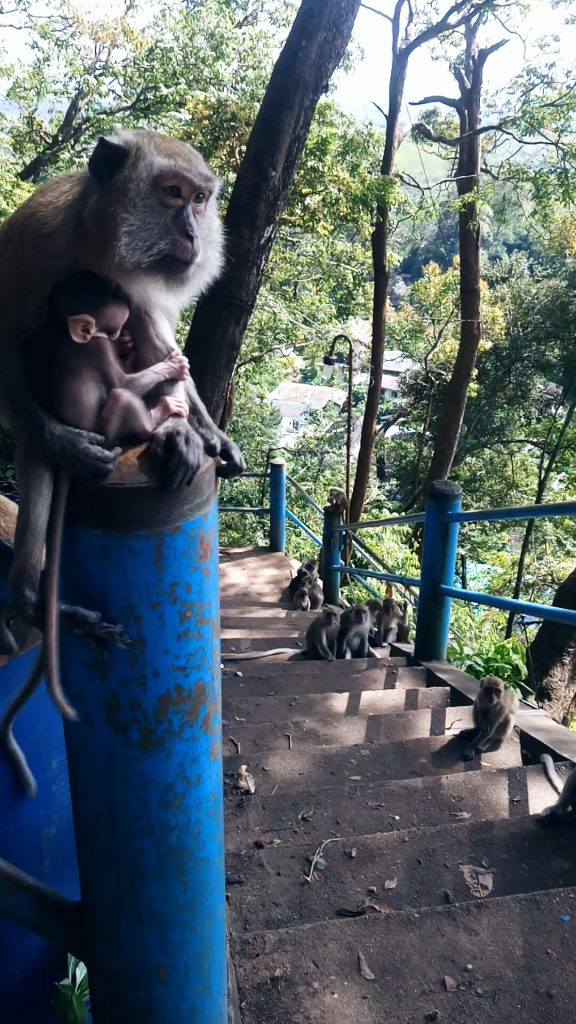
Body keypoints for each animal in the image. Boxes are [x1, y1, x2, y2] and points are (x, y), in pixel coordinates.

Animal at [0, 132, 243, 647]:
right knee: (36, 449)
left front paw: (210, 433)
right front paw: (63, 443)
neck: (98, 243)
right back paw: (29, 597)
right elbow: (6, 341)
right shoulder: (39, 244)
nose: (194, 233)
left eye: (199, 198)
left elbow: (159, 339)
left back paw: (175, 433)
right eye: (172, 192)